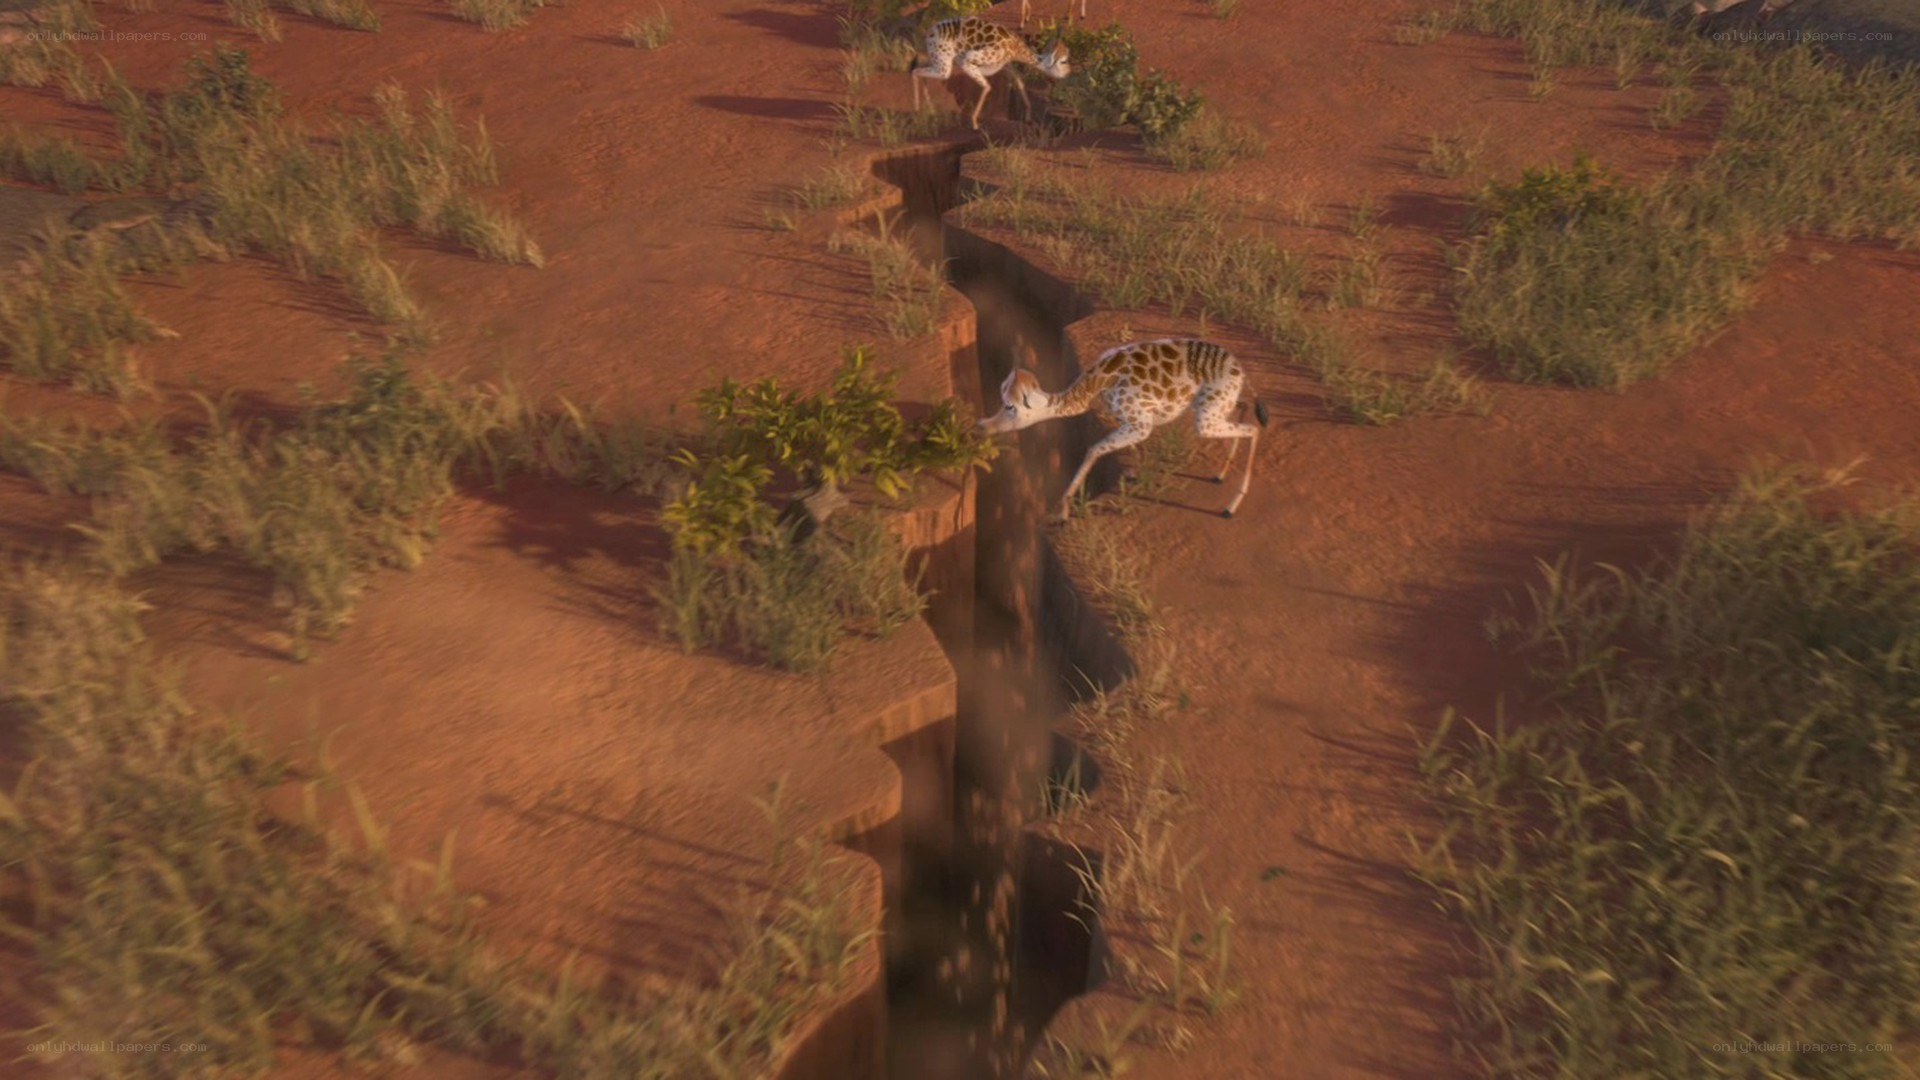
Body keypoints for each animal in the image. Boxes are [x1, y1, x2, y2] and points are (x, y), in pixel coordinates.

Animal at [912, 17, 1071, 130]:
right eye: (1063, 61)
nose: (1068, 73)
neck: (1017, 49)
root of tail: (929, 32)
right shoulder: (967, 60)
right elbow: (987, 86)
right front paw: (975, 123)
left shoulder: (1007, 65)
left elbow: (1020, 83)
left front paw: (1028, 118)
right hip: (943, 65)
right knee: (916, 71)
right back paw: (919, 112)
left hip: (938, 60)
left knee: (919, 67)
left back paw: (929, 112)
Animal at [977, 338, 1271, 522]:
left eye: (1009, 406)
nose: (984, 425)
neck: (1092, 388)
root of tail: (1239, 368)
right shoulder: (1129, 422)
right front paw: (1132, 474)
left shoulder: (1141, 424)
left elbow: (1094, 448)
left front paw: (1061, 512)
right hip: (1210, 407)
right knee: (1244, 408)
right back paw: (1220, 474)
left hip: (1206, 418)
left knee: (1253, 429)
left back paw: (1230, 507)